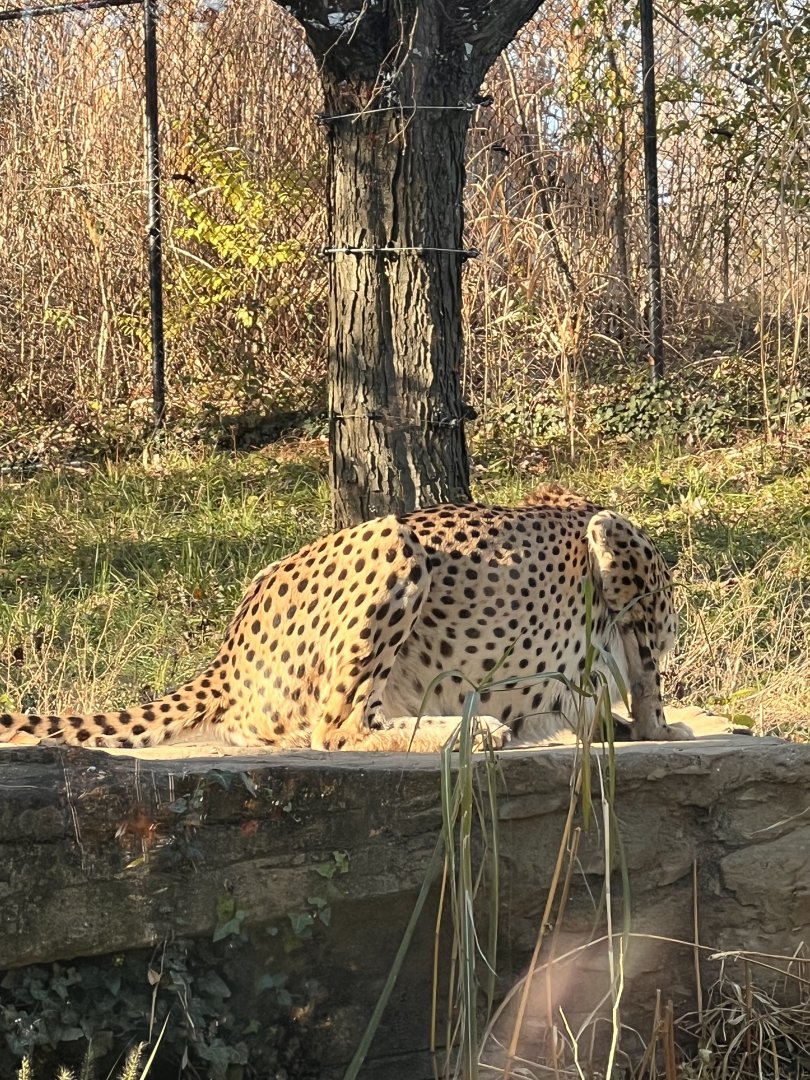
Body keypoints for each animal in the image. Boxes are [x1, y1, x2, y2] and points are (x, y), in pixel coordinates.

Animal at [0, 485, 692, 752]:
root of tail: (227, 652)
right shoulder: (616, 535)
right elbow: (649, 687)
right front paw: (662, 727)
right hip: (392, 540)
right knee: (334, 728)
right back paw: (472, 729)